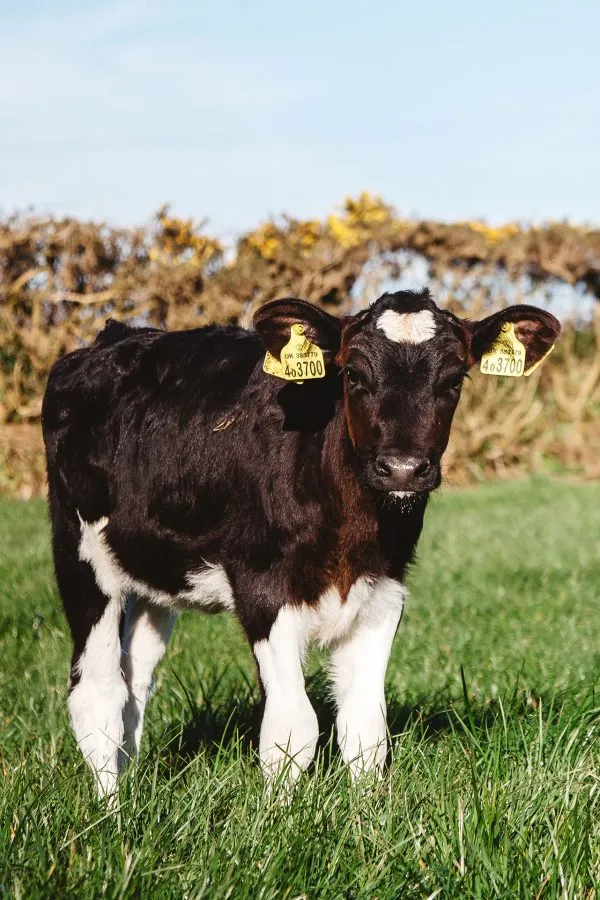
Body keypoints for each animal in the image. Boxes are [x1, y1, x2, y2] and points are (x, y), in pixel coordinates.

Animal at [41, 289, 560, 797]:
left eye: (453, 379)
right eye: (353, 374)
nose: (402, 469)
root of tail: (113, 336)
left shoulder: (384, 590)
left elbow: (365, 729)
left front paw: (366, 813)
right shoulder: (263, 590)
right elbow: (292, 728)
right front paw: (277, 815)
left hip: (154, 572)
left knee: (136, 680)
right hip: (80, 557)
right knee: (97, 692)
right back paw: (112, 807)